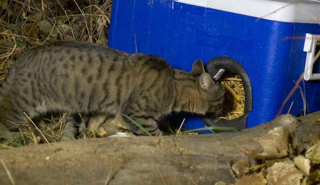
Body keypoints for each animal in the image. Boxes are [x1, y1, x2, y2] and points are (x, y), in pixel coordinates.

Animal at [0, 42, 225, 136]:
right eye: (223, 97)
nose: (225, 109)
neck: (173, 85)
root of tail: (20, 59)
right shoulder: (138, 115)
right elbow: (155, 134)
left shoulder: (103, 108)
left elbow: (93, 124)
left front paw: (90, 135)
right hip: (23, 105)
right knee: (5, 117)